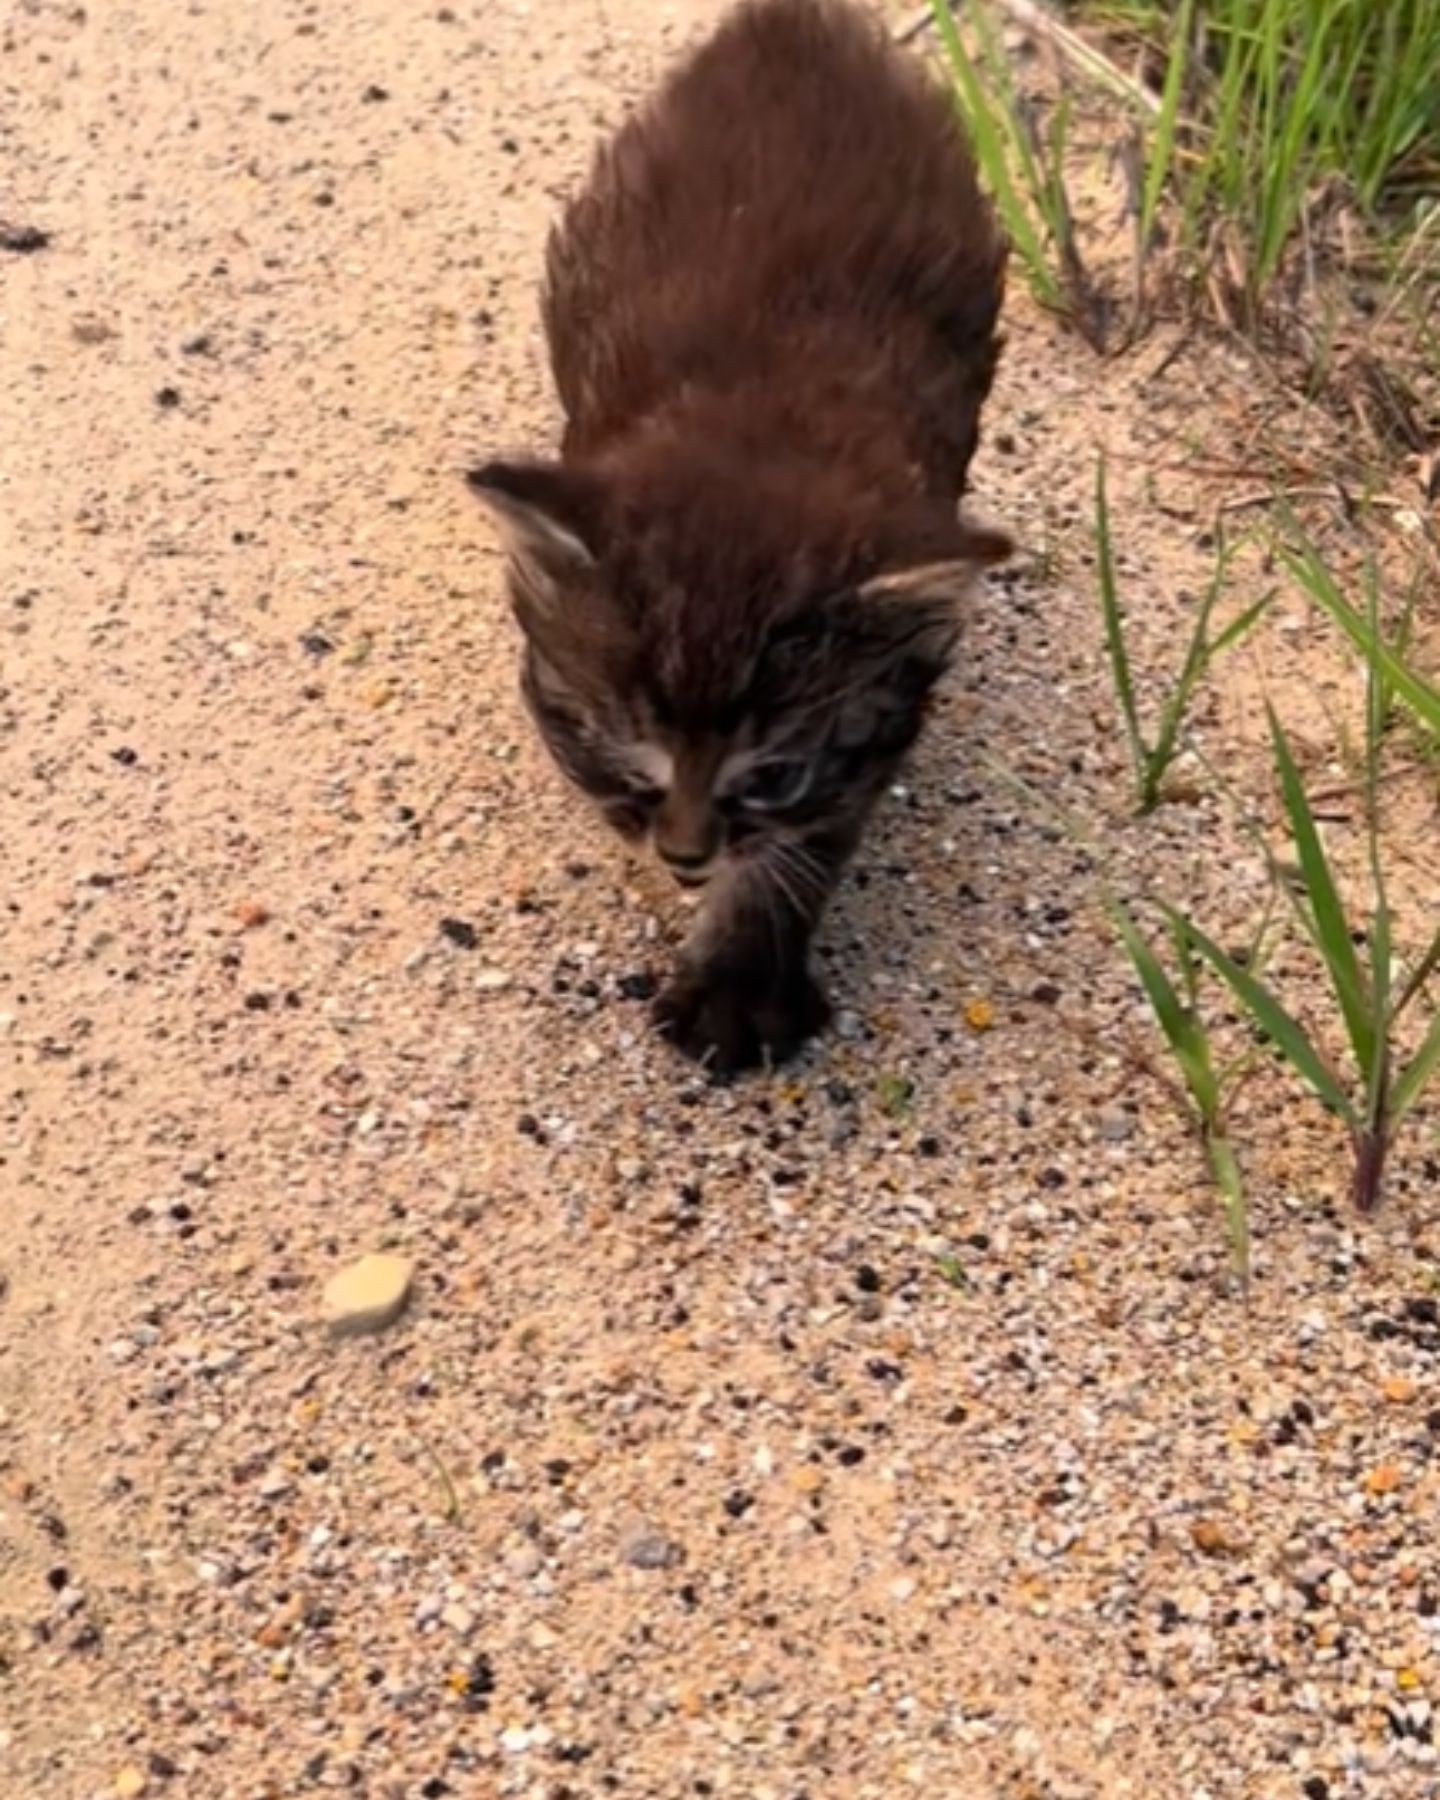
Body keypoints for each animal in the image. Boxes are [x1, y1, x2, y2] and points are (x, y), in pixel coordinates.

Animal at [468, 0, 1008, 1065]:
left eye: (771, 774)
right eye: (626, 757)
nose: (683, 857)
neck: (760, 421)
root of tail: (794, 25)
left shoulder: (882, 712)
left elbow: (805, 839)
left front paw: (741, 976)